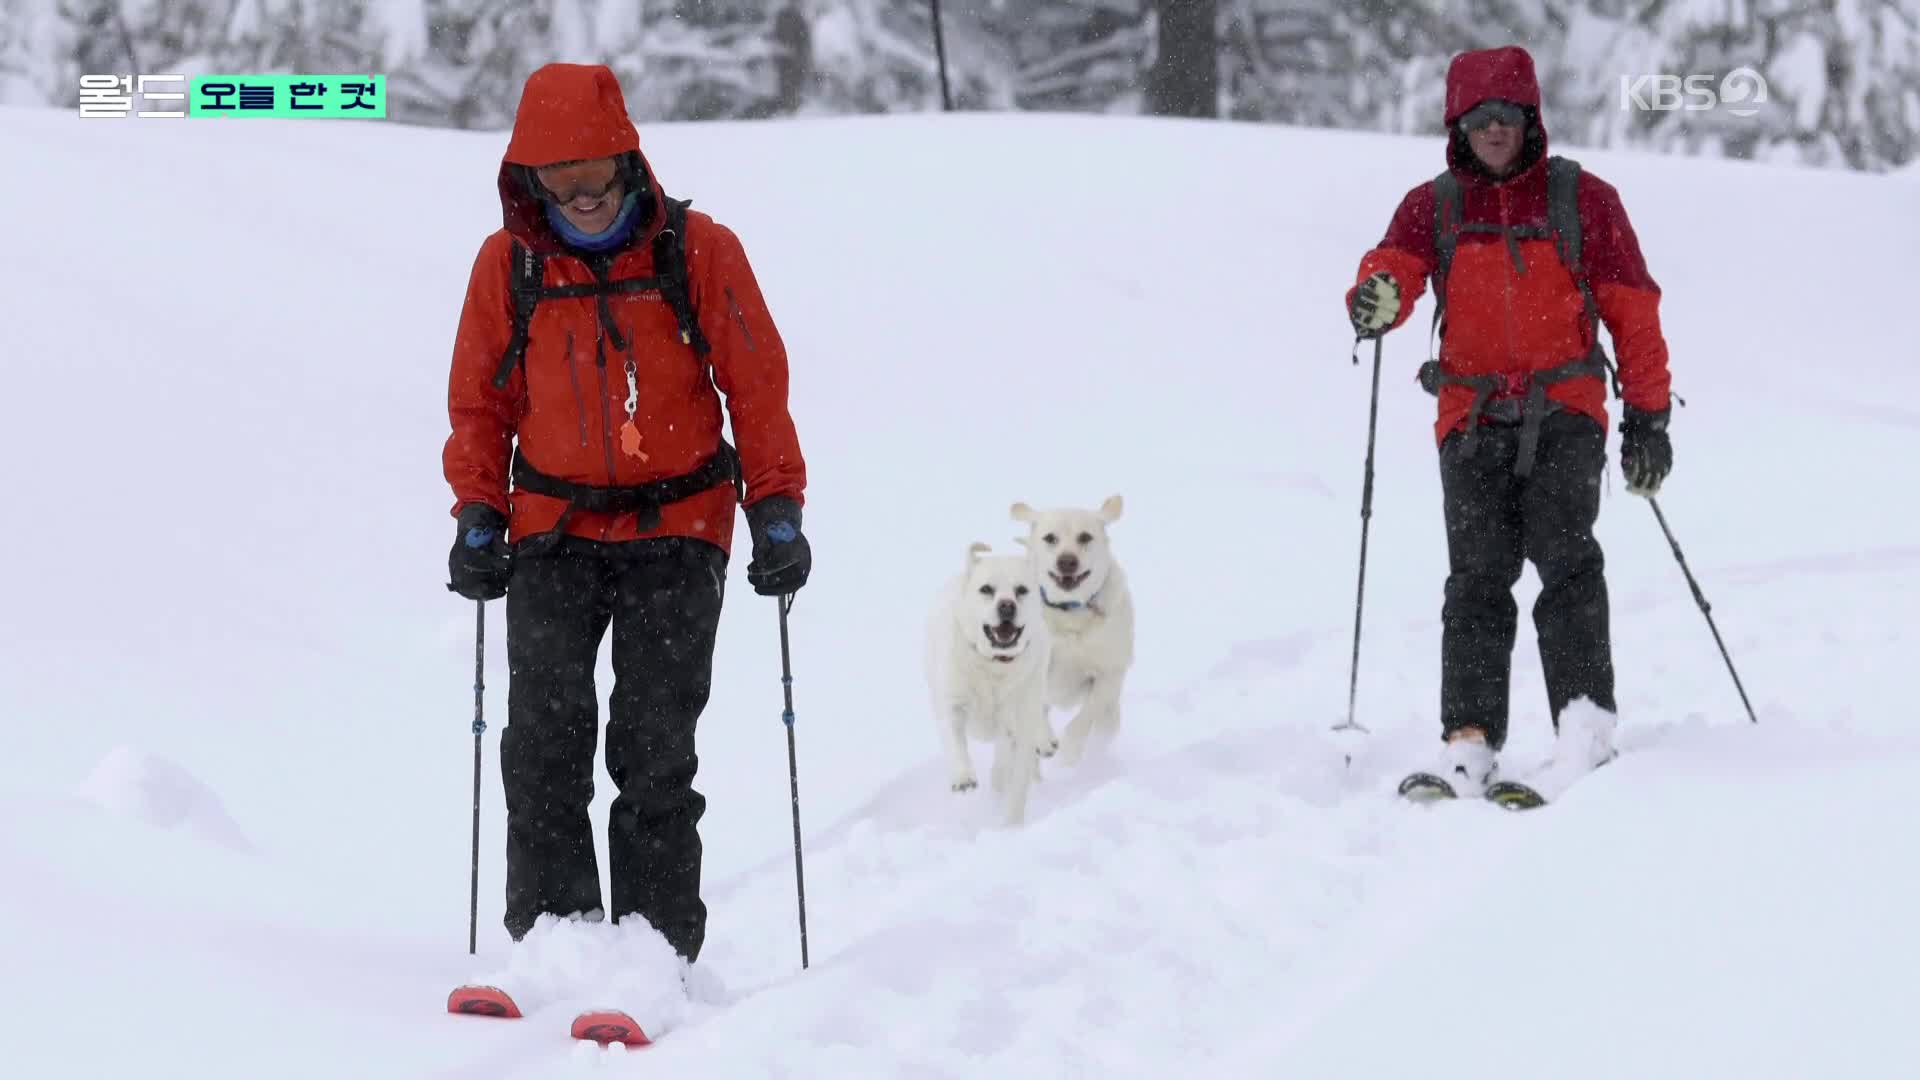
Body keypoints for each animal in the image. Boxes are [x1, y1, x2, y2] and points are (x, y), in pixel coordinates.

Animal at [925, 538, 1059, 822]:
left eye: (1021, 590)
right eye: (986, 589)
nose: (1007, 605)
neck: (995, 665)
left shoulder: (1018, 717)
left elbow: (1015, 779)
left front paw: (1011, 824)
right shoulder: (953, 705)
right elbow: (954, 739)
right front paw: (963, 777)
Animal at [1013, 491, 1128, 760]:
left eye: (1084, 536)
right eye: (1050, 538)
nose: (1067, 561)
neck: (1068, 612)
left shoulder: (1110, 674)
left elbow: (1086, 716)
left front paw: (1071, 751)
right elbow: (1035, 706)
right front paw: (1043, 740)